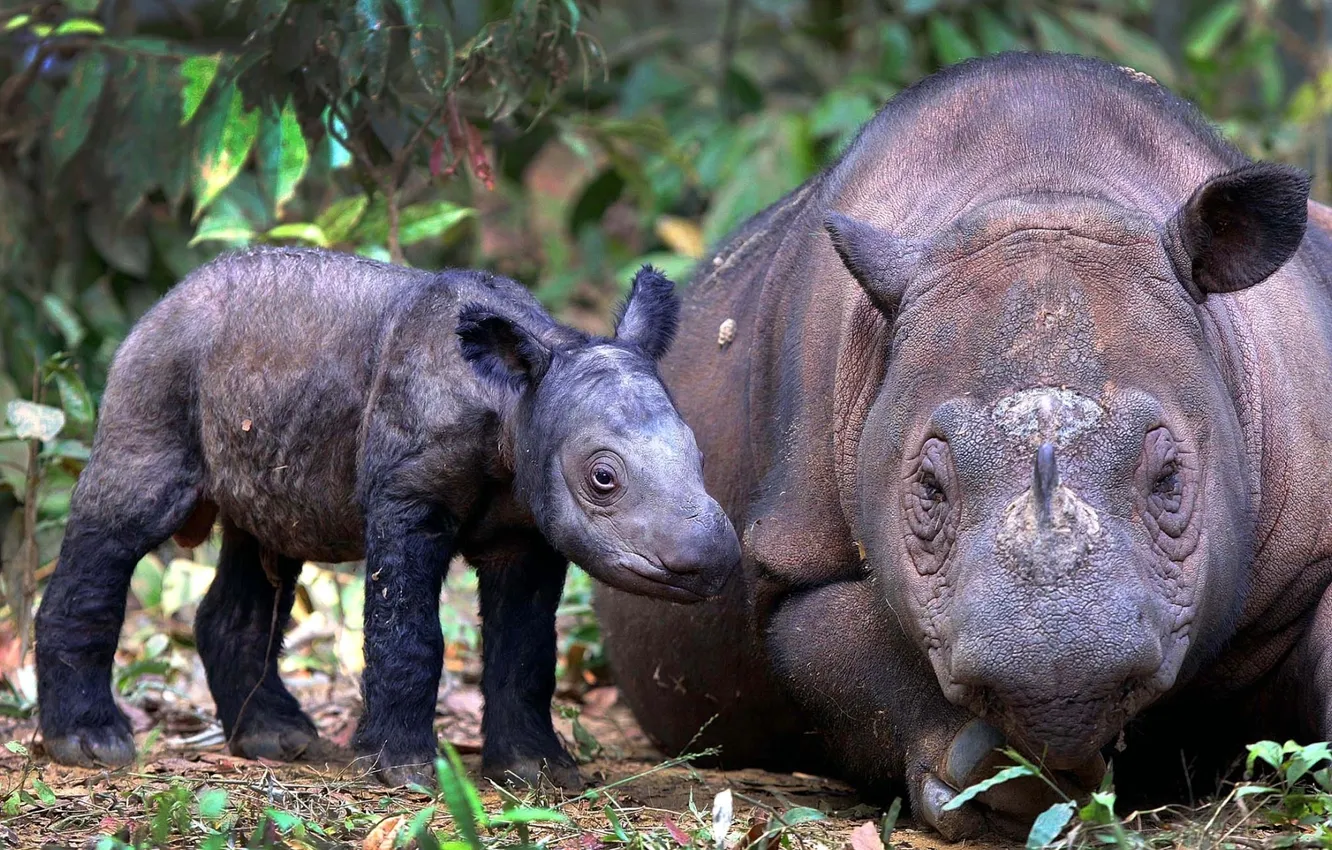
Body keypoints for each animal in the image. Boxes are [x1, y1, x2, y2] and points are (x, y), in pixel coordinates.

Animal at [34, 248, 741, 789]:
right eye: (603, 478)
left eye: (701, 456)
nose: (713, 559)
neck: (517, 401)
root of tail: (166, 299)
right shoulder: (407, 495)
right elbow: (409, 632)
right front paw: (400, 771)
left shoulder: (529, 527)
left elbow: (527, 649)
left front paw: (538, 773)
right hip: (158, 368)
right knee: (125, 518)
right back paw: (91, 745)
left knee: (264, 545)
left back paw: (275, 740)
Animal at [594, 52, 1332, 837]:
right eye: (928, 489)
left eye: (1169, 481)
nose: (1058, 678)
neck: (1045, 186)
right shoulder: (795, 553)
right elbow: (839, 648)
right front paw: (1002, 785)